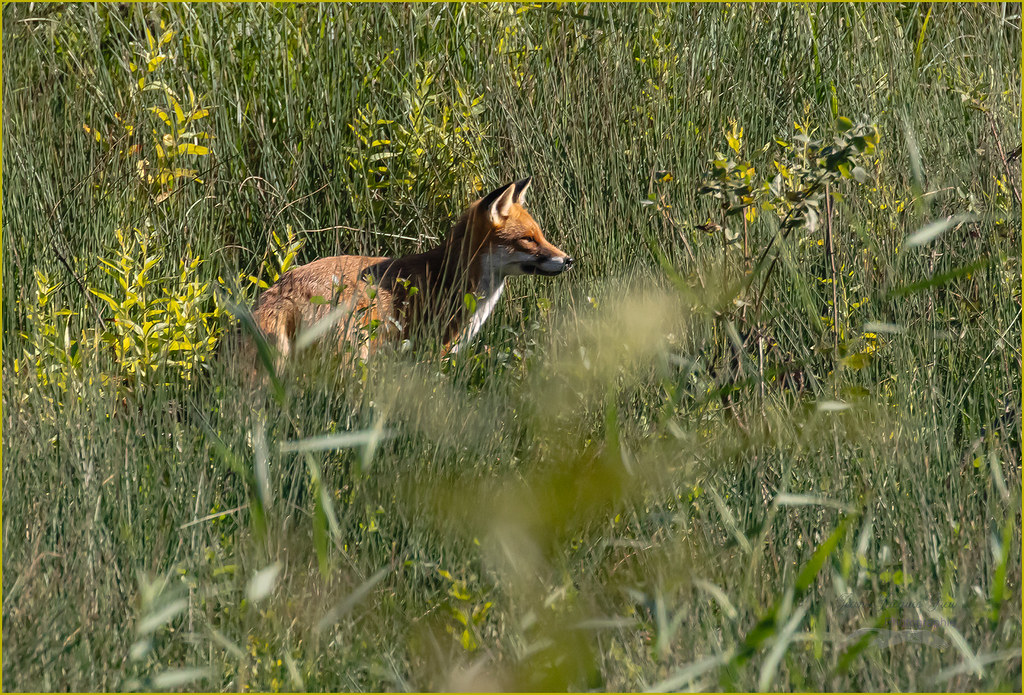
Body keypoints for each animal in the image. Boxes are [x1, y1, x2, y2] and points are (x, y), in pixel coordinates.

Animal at [249, 177, 573, 362]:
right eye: (527, 240)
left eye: (541, 235)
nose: (569, 260)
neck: (452, 277)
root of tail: (283, 286)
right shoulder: (436, 352)